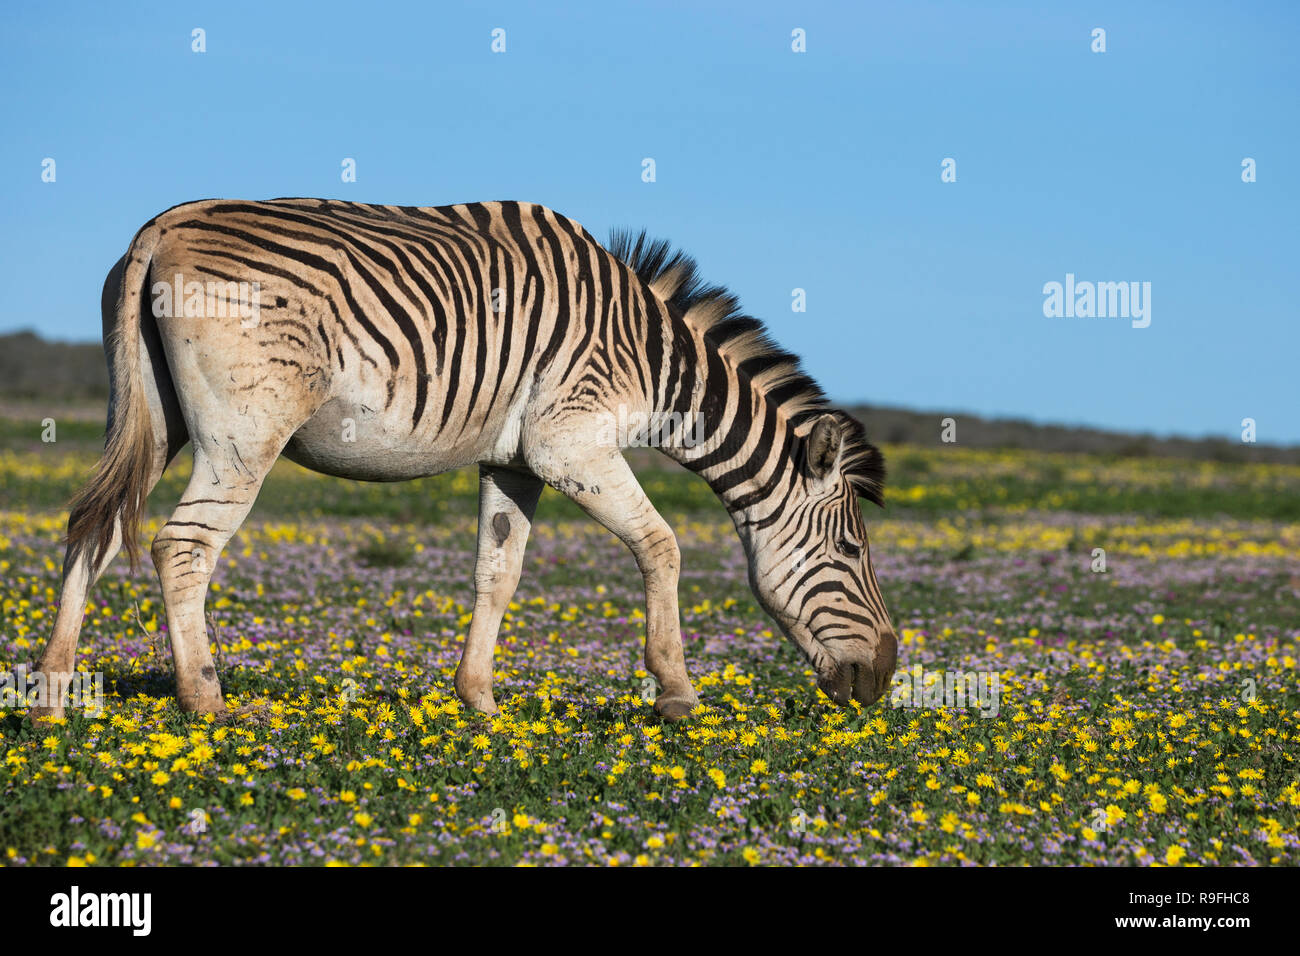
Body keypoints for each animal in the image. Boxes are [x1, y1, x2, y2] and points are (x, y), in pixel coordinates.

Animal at [35, 204, 899, 723]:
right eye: (850, 550)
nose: (885, 676)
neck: (653, 361)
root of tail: (163, 227)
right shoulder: (569, 440)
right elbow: (662, 545)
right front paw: (678, 693)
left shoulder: (514, 461)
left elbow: (498, 572)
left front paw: (478, 700)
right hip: (245, 432)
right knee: (181, 548)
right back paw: (206, 704)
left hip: (154, 417)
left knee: (96, 528)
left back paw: (51, 691)